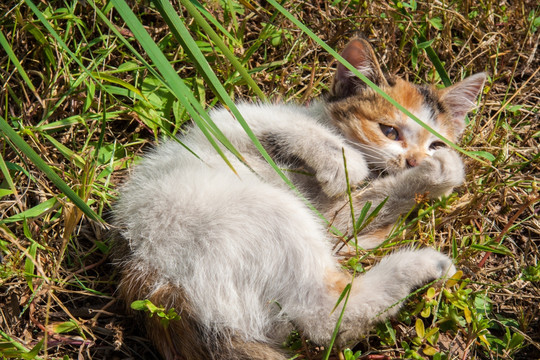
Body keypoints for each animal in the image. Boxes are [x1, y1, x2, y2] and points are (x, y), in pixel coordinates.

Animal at [114, 38, 486, 358]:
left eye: (435, 143)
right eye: (389, 130)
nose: (413, 160)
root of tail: (152, 277)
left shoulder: (334, 218)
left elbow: (365, 205)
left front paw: (441, 172)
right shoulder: (228, 122)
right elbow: (288, 125)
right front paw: (345, 160)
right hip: (257, 211)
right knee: (321, 316)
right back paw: (424, 263)